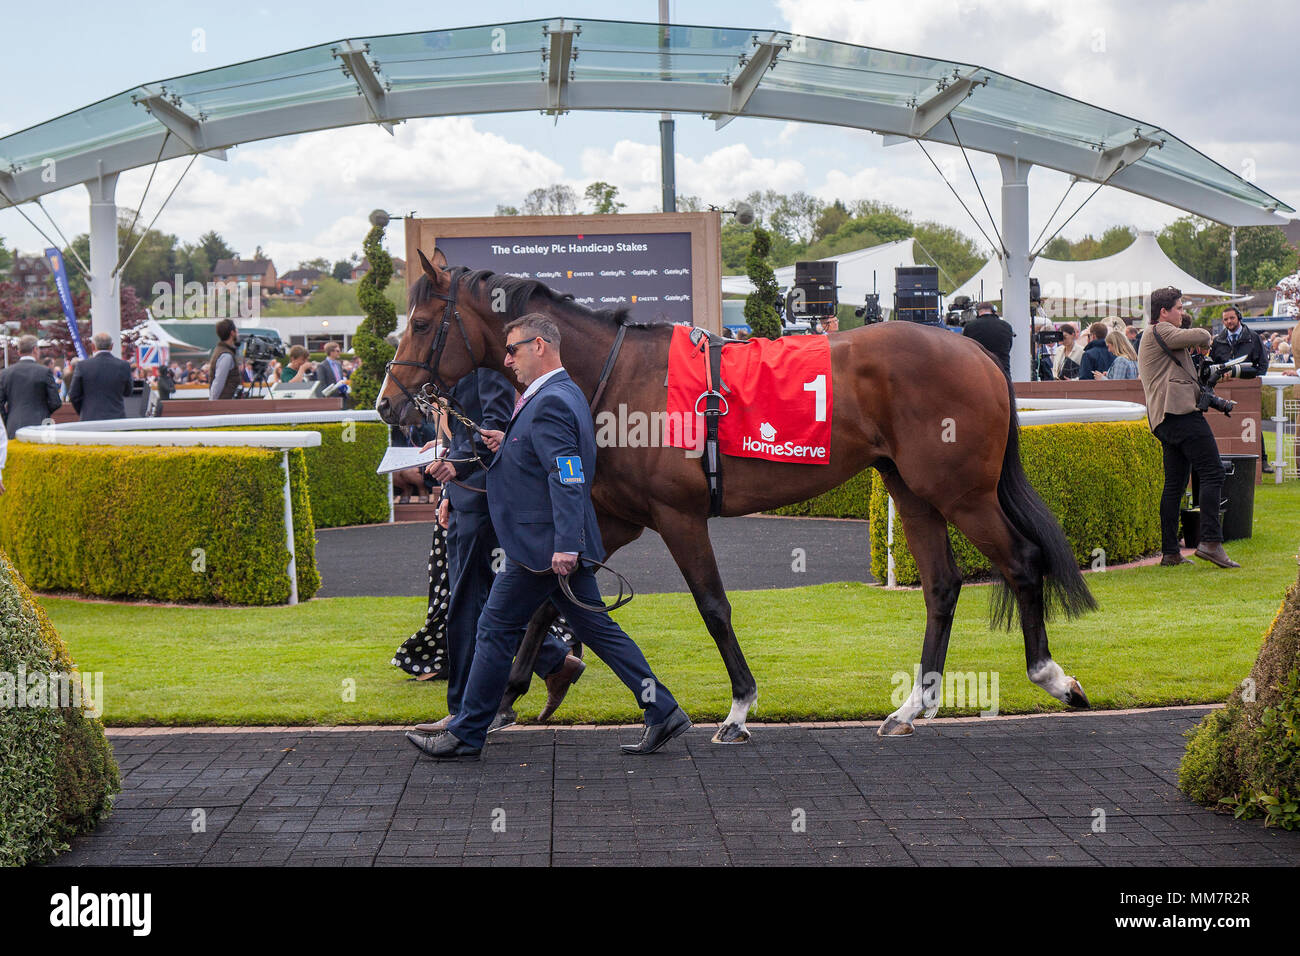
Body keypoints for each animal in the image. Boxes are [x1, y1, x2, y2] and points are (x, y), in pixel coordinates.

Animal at [379, 252, 1097, 738]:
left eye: (422, 322)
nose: (388, 403)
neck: (618, 375)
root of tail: (979, 355)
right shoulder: (615, 517)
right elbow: (550, 595)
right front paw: (512, 693)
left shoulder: (678, 515)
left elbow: (713, 606)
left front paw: (739, 706)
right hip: (912, 488)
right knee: (943, 586)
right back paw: (911, 706)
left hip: (961, 492)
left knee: (1021, 562)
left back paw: (1054, 677)